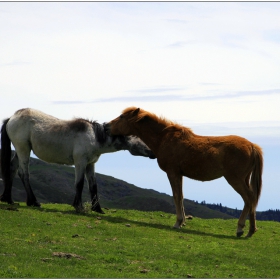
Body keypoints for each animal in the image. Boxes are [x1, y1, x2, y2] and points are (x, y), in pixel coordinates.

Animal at [0, 108, 155, 213]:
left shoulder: (90, 164)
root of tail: (12, 117)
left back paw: (8, 199)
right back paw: (33, 201)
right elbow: (79, 184)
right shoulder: (80, 162)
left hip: (20, 150)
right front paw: (78, 206)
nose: (153, 152)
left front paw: (97, 209)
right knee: (23, 173)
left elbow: (93, 186)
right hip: (23, 149)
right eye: (139, 136)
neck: (94, 137)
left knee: (12, 169)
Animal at [104, 106, 262, 237]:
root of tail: (252, 146)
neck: (164, 139)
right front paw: (183, 221)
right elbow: (181, 196)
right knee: (251, 199)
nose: (106, 126)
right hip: (244, 178)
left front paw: (178, 222)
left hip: (235, 179)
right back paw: (250, 229)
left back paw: (243, 229)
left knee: (249, 198)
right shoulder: (179, 174)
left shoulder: (172, 173)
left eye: (121, 117)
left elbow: (176, 196)